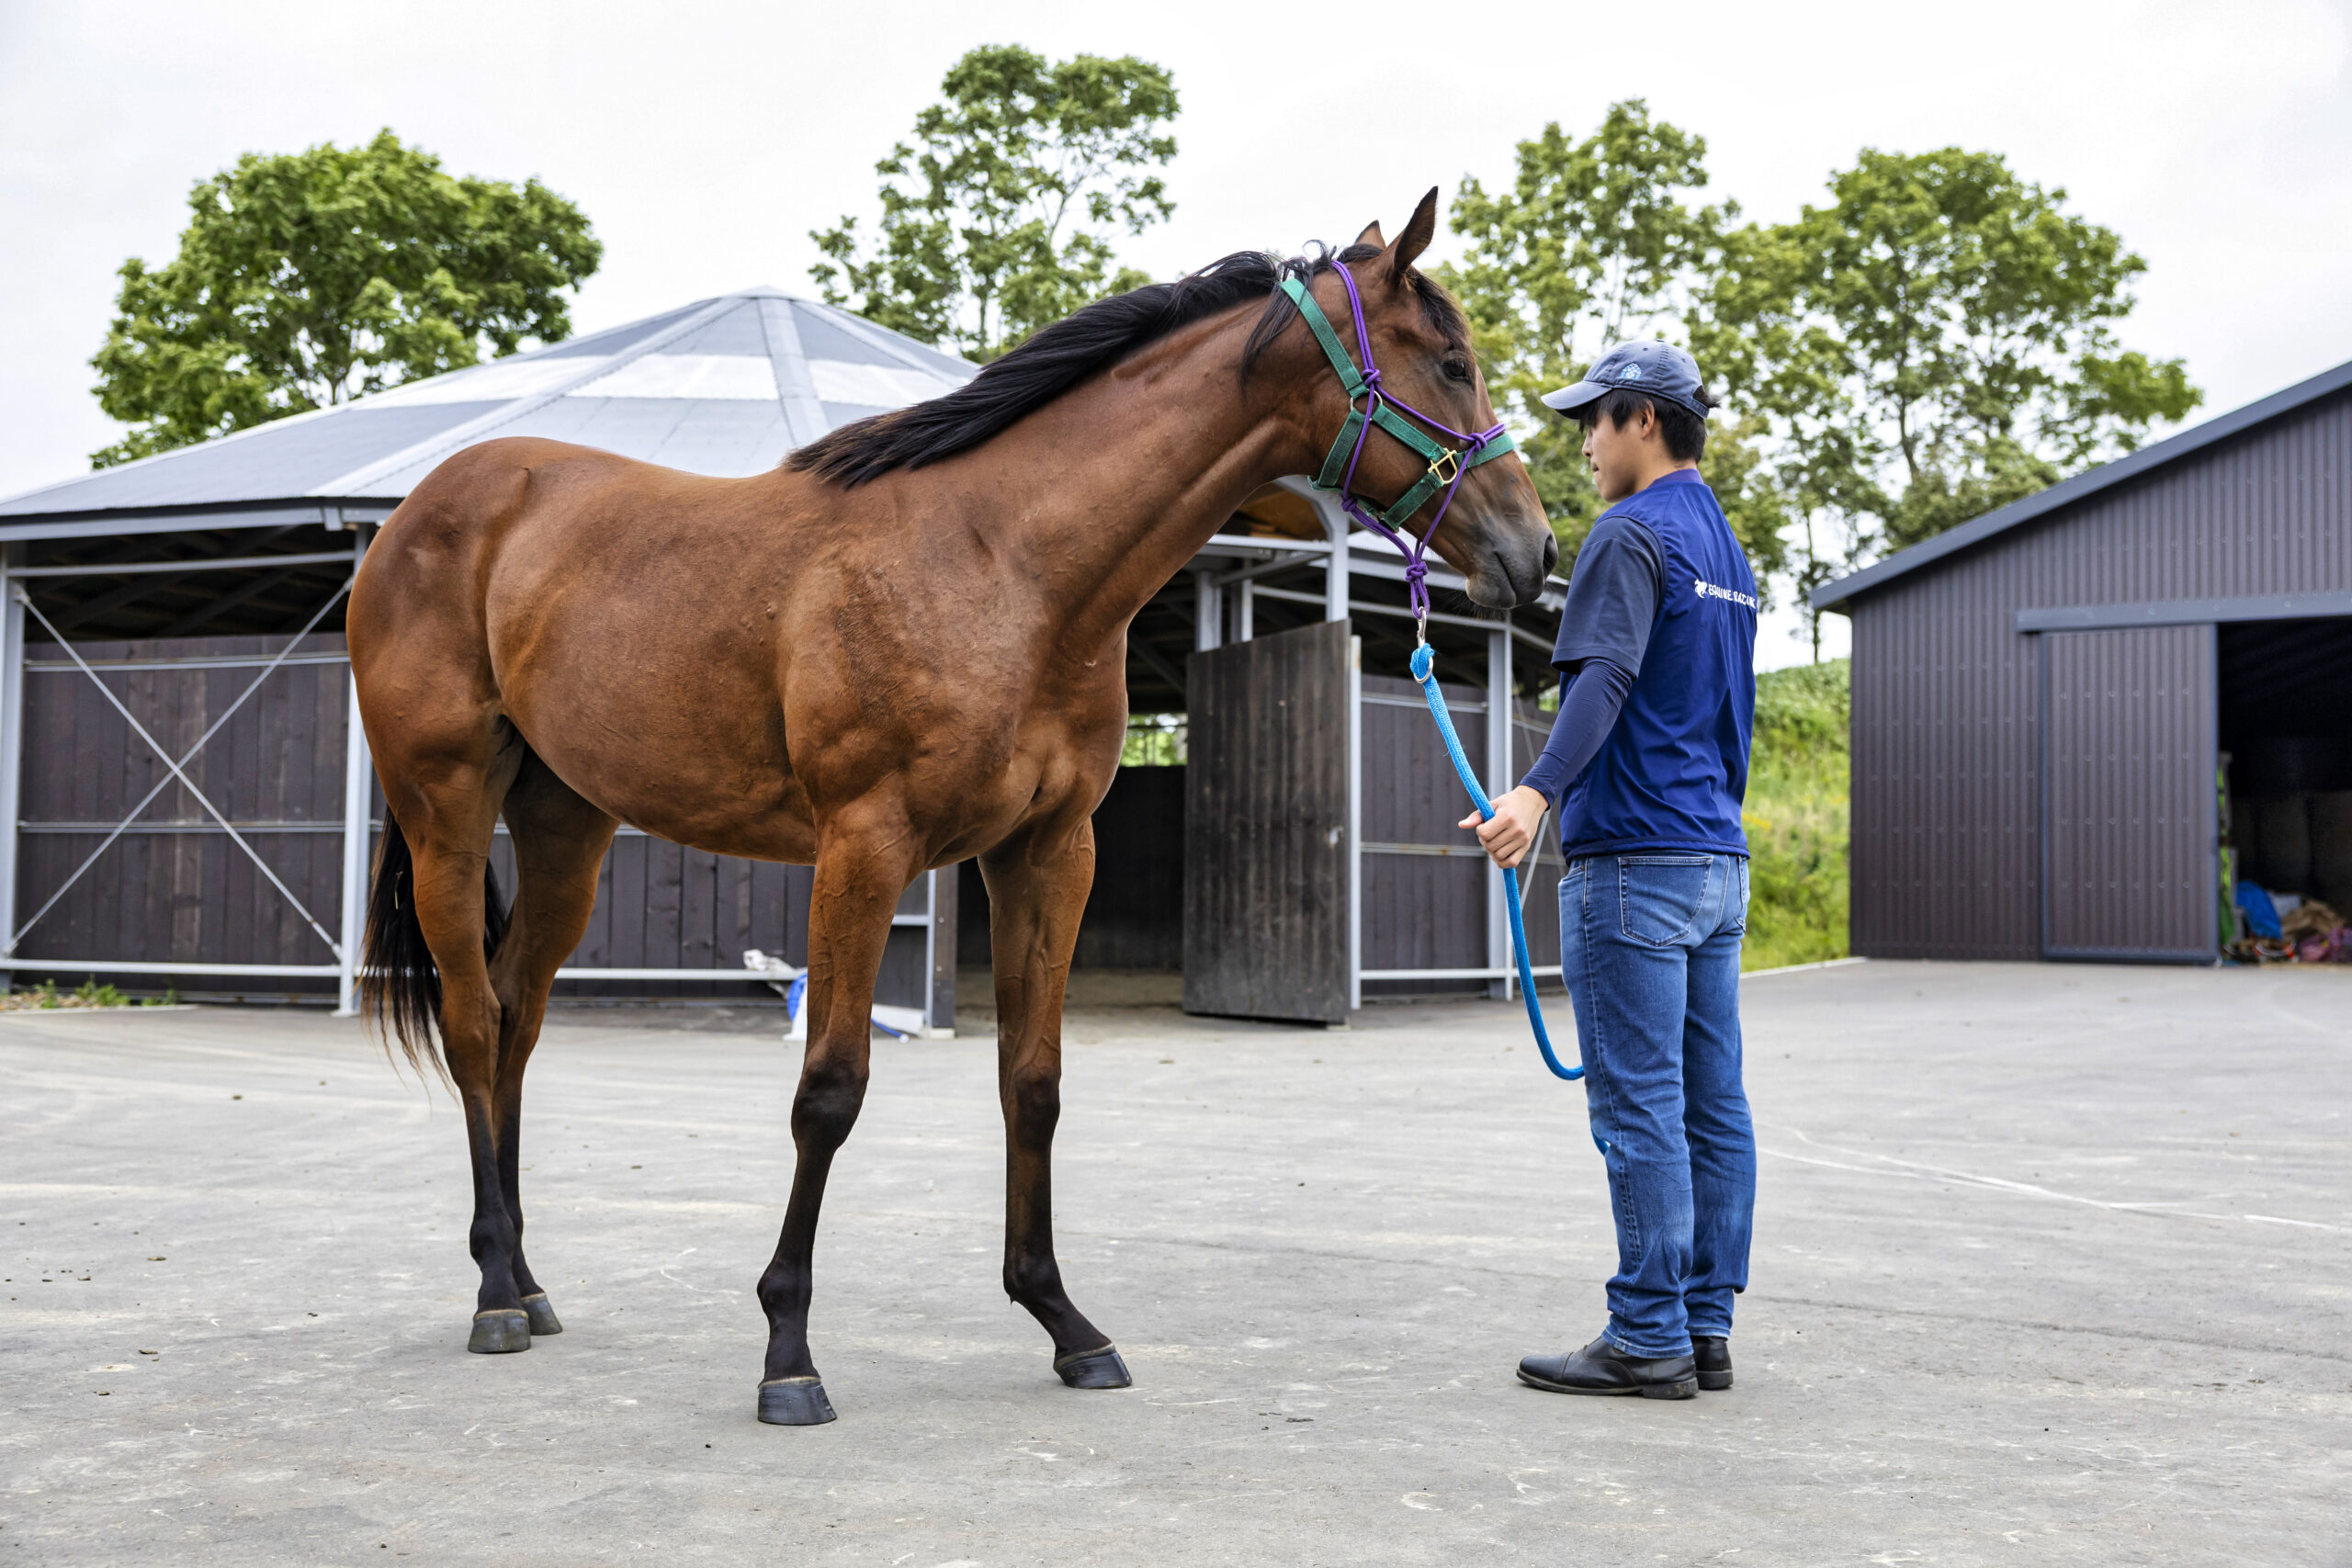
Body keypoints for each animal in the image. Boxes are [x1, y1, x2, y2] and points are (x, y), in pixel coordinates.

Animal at [347, 187, 1556, 1425]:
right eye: (1451, 361)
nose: (1533, 549)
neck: (1005, 565)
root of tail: (421, 511)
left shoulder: (1046, 851)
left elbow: (1033, 1083)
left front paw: (1064, 1322)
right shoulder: (864, 847)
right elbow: (829, 1090)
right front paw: (788, 1351)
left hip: (566, 829)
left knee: (517, 1020)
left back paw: (528, 1280)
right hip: (446, 814)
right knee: (473, 1022)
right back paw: (496, 1294)